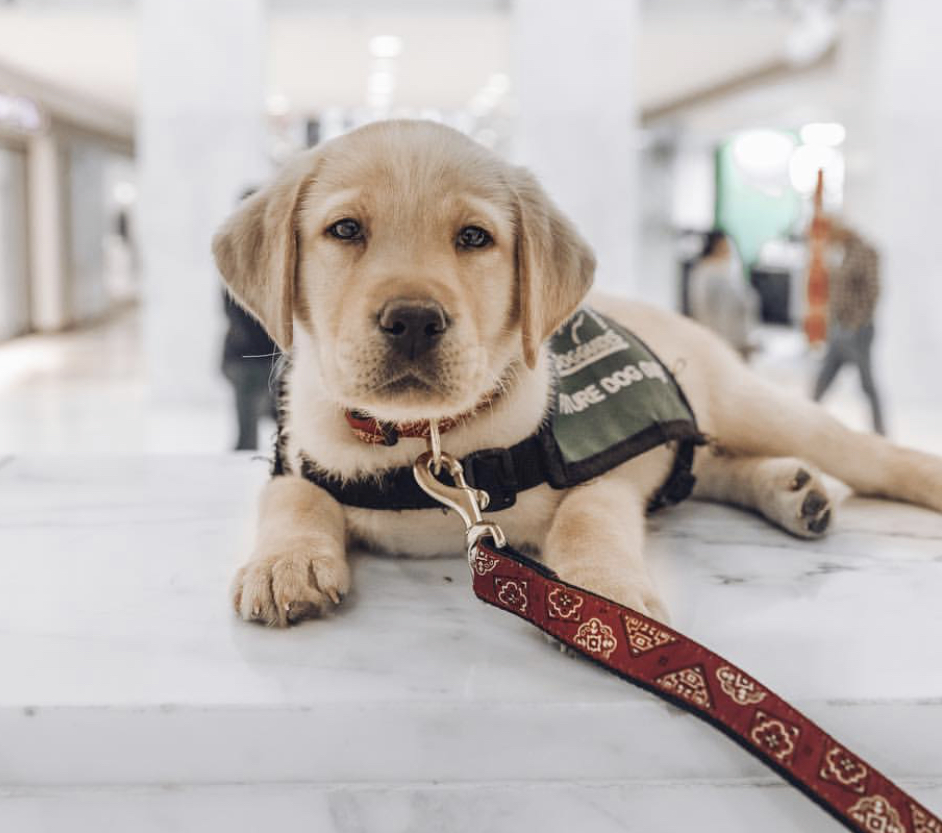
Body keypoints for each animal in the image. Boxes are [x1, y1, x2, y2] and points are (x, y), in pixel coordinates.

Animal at [214, 117, 942, 624]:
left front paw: (606, 590)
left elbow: (587, 514)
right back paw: (793, 490)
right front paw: (286, 562)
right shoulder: (299, 454)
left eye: (474, 237)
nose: (415, 321)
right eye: (345, 230)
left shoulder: (613, 469)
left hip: (751, 404)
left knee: (862, 451)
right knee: (709, 466)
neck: (428, 438)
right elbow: (293, 495)